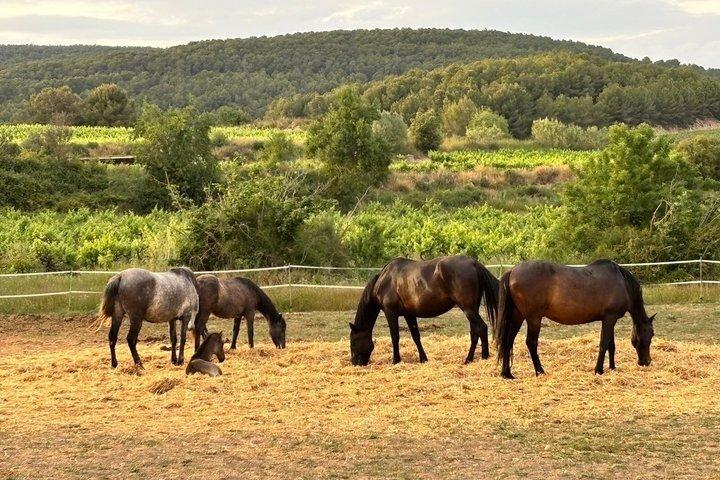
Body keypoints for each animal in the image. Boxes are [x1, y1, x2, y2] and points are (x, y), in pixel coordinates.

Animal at [349, 255, 499, 366]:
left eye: (353, 341)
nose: (355, 363)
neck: (385, 279)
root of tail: (474, 263)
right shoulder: (409, 314)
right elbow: (416, 336)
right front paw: (423, 359)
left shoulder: (390, 312)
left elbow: (395, 337)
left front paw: (396, 360)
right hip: (472, 308)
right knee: (475, 332)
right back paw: (469, 359)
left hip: (468, 309)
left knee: (482, 328)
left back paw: (483, 357)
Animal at [494, 259, 655, 379]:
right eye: (651, 334)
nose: (646, 361)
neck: (622, 282)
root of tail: (512, 271)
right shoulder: (610, 318)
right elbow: (604, 344)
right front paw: (599, 370)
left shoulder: (610, 319)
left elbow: (611, 345)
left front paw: (612, 368)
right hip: (534, 318)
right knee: (531, 343)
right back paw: (540, 371)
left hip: (517, 316)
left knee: (508, 341)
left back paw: (507, 374)